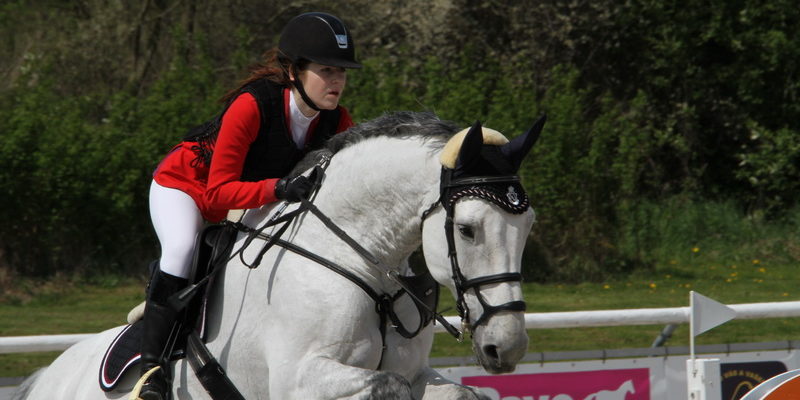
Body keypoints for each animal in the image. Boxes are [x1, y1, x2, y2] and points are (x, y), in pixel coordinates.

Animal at [16, 111, 544, 400]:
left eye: (527, 228)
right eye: (468, 230)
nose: (507, 346)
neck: (353, 257)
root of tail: (49, 377)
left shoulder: (415, 374)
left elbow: (459, 390)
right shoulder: (297, 381)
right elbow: (388, 388)